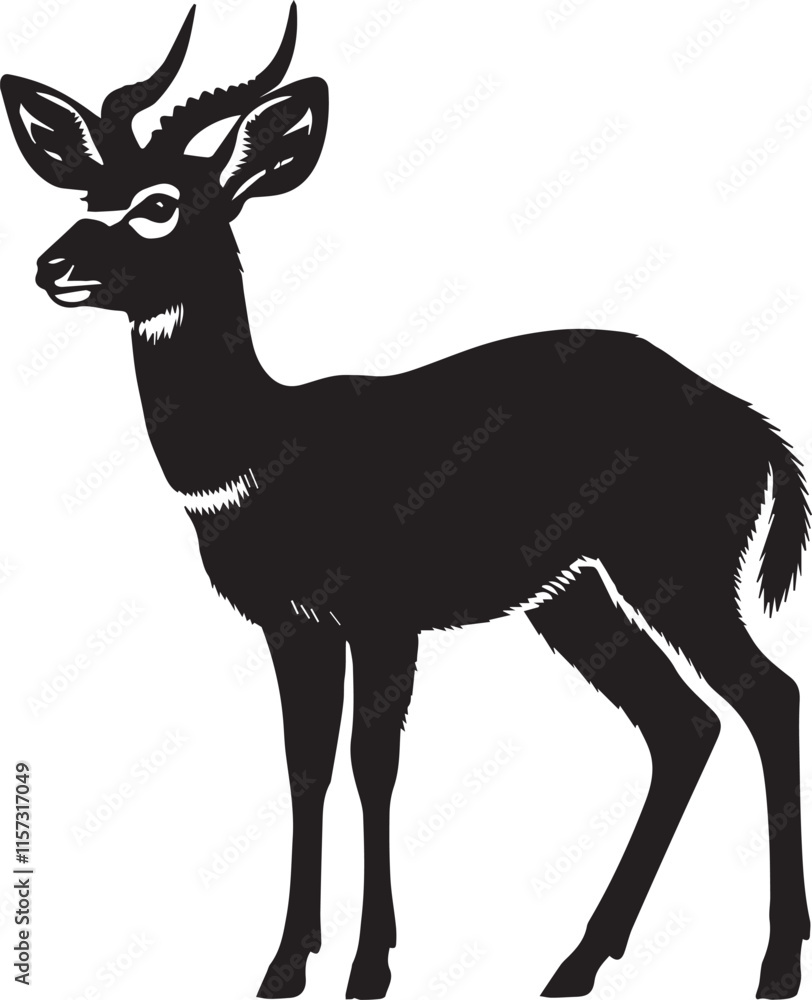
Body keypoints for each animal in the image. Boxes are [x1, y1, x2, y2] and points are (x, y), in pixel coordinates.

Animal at [2, 4, 809, 999]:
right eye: (87, 192)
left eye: (160, 202)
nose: (54, 266)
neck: (270, 446)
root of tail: (748, 419)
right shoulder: (293, 626)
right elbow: (304, 768)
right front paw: (284, 965)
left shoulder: (382, 619)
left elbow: (371, 766)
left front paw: (368, 967)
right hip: (574, 598)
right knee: (685, 725)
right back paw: (575, 964)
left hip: (671, 576)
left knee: (768, 697)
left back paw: (774, 965)